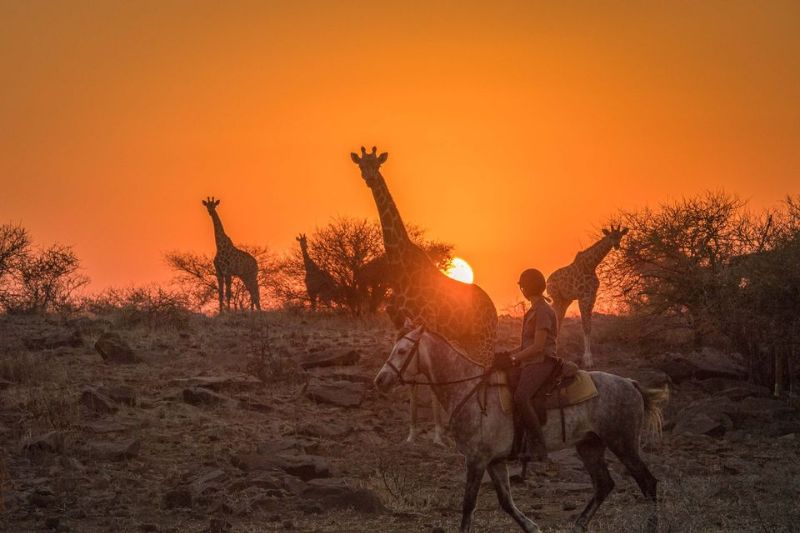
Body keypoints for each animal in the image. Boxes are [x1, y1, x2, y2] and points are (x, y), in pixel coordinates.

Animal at [373, 325, 668, 533]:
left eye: (402, 351)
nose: (381, 380)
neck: (469, 389)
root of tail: (630, 383)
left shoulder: (477, 460)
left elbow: (468, 505)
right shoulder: (495, 461)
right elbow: (506, 502)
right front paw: (532, 527)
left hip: (623, 443)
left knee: (647, 483)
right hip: (589, 446)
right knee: (604, 484)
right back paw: (578, 525)